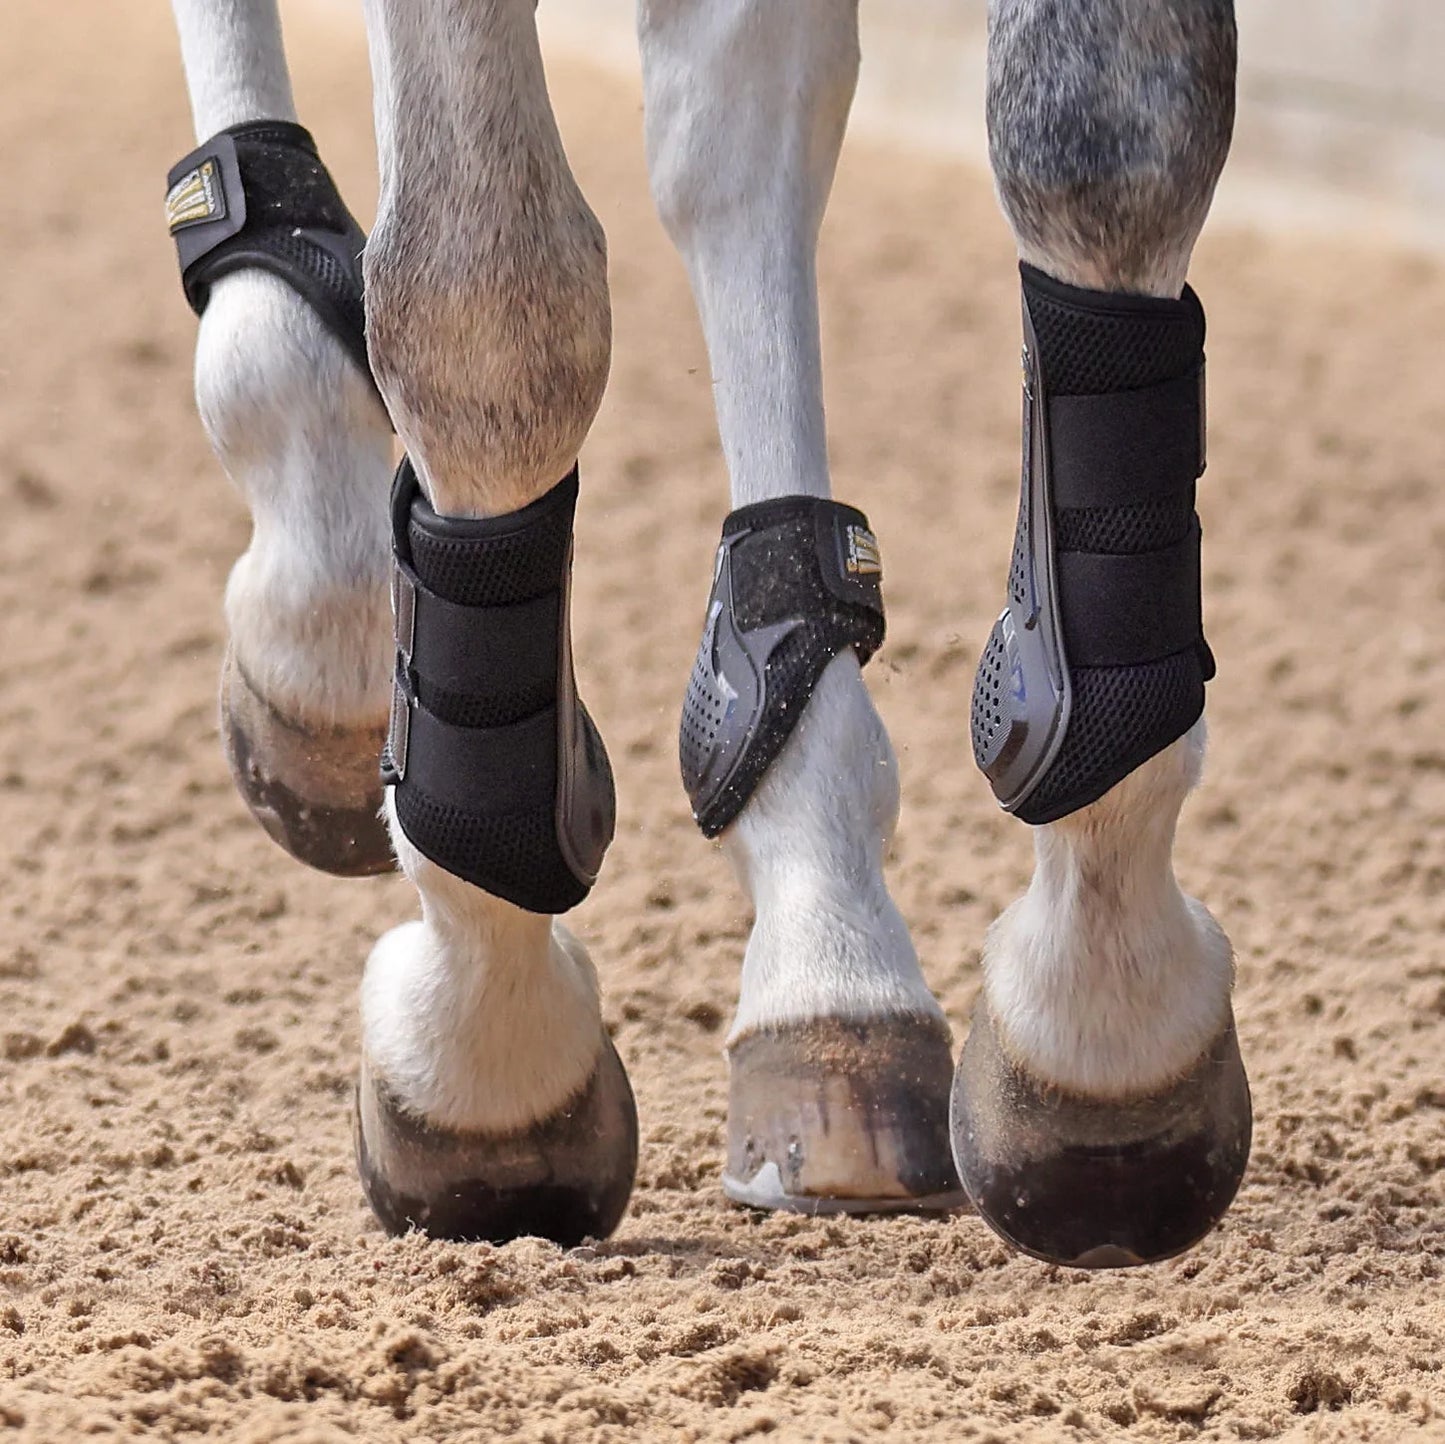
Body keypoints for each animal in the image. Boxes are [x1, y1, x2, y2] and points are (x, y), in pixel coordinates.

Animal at [165, 0, 1247, 1268]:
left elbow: (1110, 150)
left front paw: (1102, 1024)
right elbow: (482, 309)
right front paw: (483, 1055)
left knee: (725, 118)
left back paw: (828, 955)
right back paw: (320, 626)